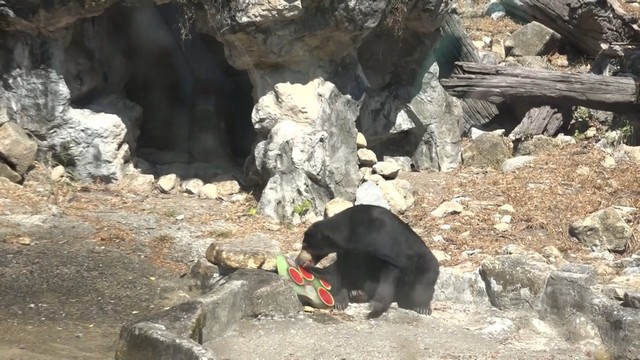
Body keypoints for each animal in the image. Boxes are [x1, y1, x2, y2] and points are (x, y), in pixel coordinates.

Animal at [296, 204, 440, 320]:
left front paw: (375, 308)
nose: (298, 260)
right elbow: (344, 269)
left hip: (425, 267)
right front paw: (340, 300)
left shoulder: (382, 243)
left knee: (421, 286)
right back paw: (357, 293)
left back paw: (423, 307)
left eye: (306, 245)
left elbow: (389, 273)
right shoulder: (347, 251)